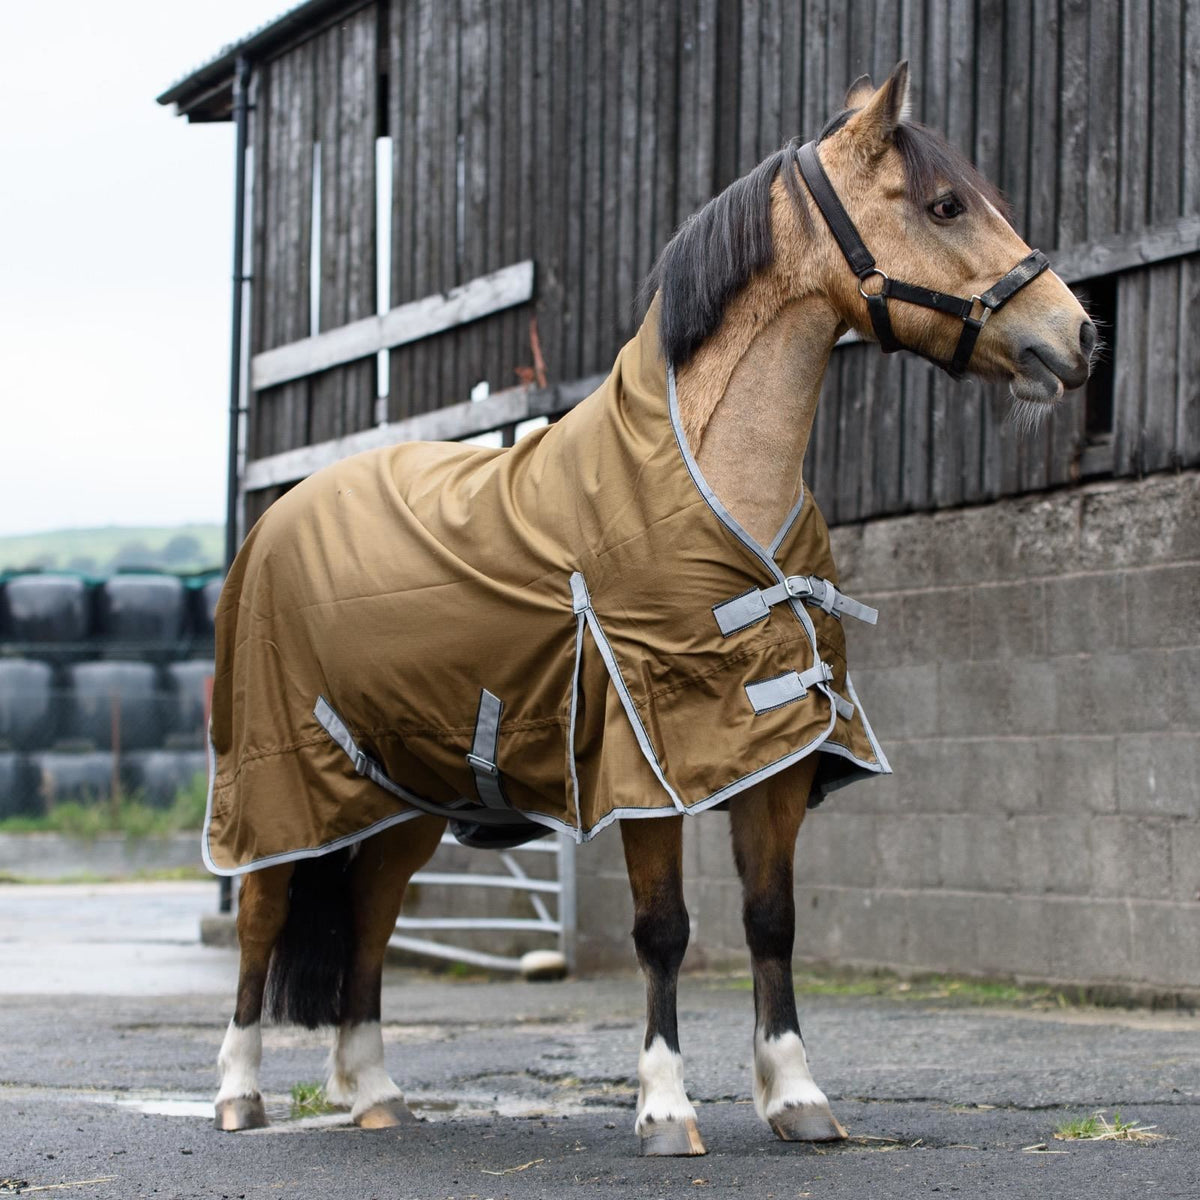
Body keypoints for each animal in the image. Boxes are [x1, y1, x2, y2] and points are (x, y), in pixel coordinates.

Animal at [209, 62, 1094, 1157]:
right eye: (943, 205)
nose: (1078, 336)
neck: (711, 484)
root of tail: (281, 515)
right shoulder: (647, 766)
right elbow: (662, 931)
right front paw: (666, 1107)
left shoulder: (776, 756)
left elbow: (771, 921)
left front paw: (796, 1097)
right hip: (279, 784)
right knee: (260, 915)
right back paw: (239, 1094)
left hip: (401, 796)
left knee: (370, 921)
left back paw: (374, 1092)